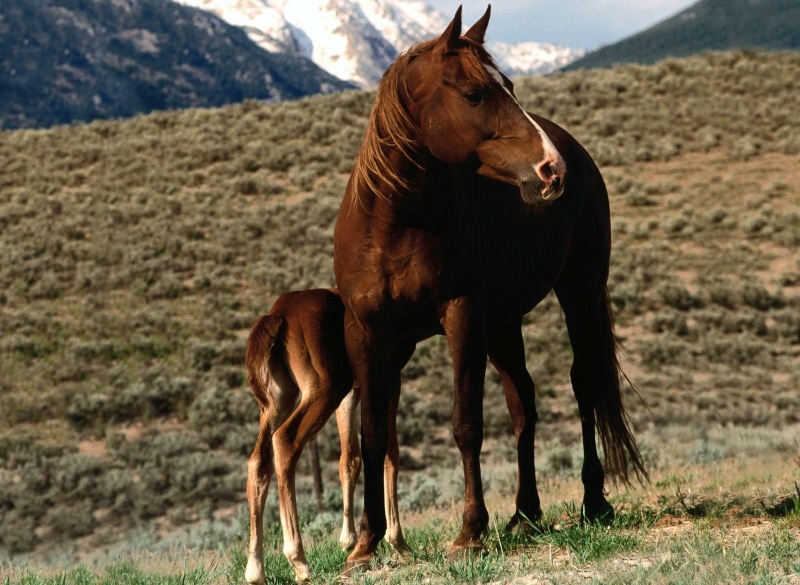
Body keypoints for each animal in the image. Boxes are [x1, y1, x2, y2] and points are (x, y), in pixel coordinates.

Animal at [245, 290, 412, 580]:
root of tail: (279, 315)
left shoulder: (354, 391)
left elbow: (350, 460)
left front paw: (349, 541)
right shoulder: (389, 377)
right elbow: (390, 452)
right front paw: (399, 543)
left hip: (279, 400)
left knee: (258, 462)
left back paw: (256, 572)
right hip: (325, 390)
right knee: (285, 441)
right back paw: (299, 561)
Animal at [334, 4, 648, 572]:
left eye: (510, 87)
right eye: (475, 94)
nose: (551, 169)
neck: (394, 225)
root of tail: (577, 150)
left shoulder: (462, 317)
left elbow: (467, 425)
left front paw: (469, 533)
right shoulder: (368, 334)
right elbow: (373, 436)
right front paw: (365, 546)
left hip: (578, 294)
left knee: (584, 383)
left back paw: (594, 501)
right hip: (503, 324)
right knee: (524, 403)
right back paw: (524, 514)